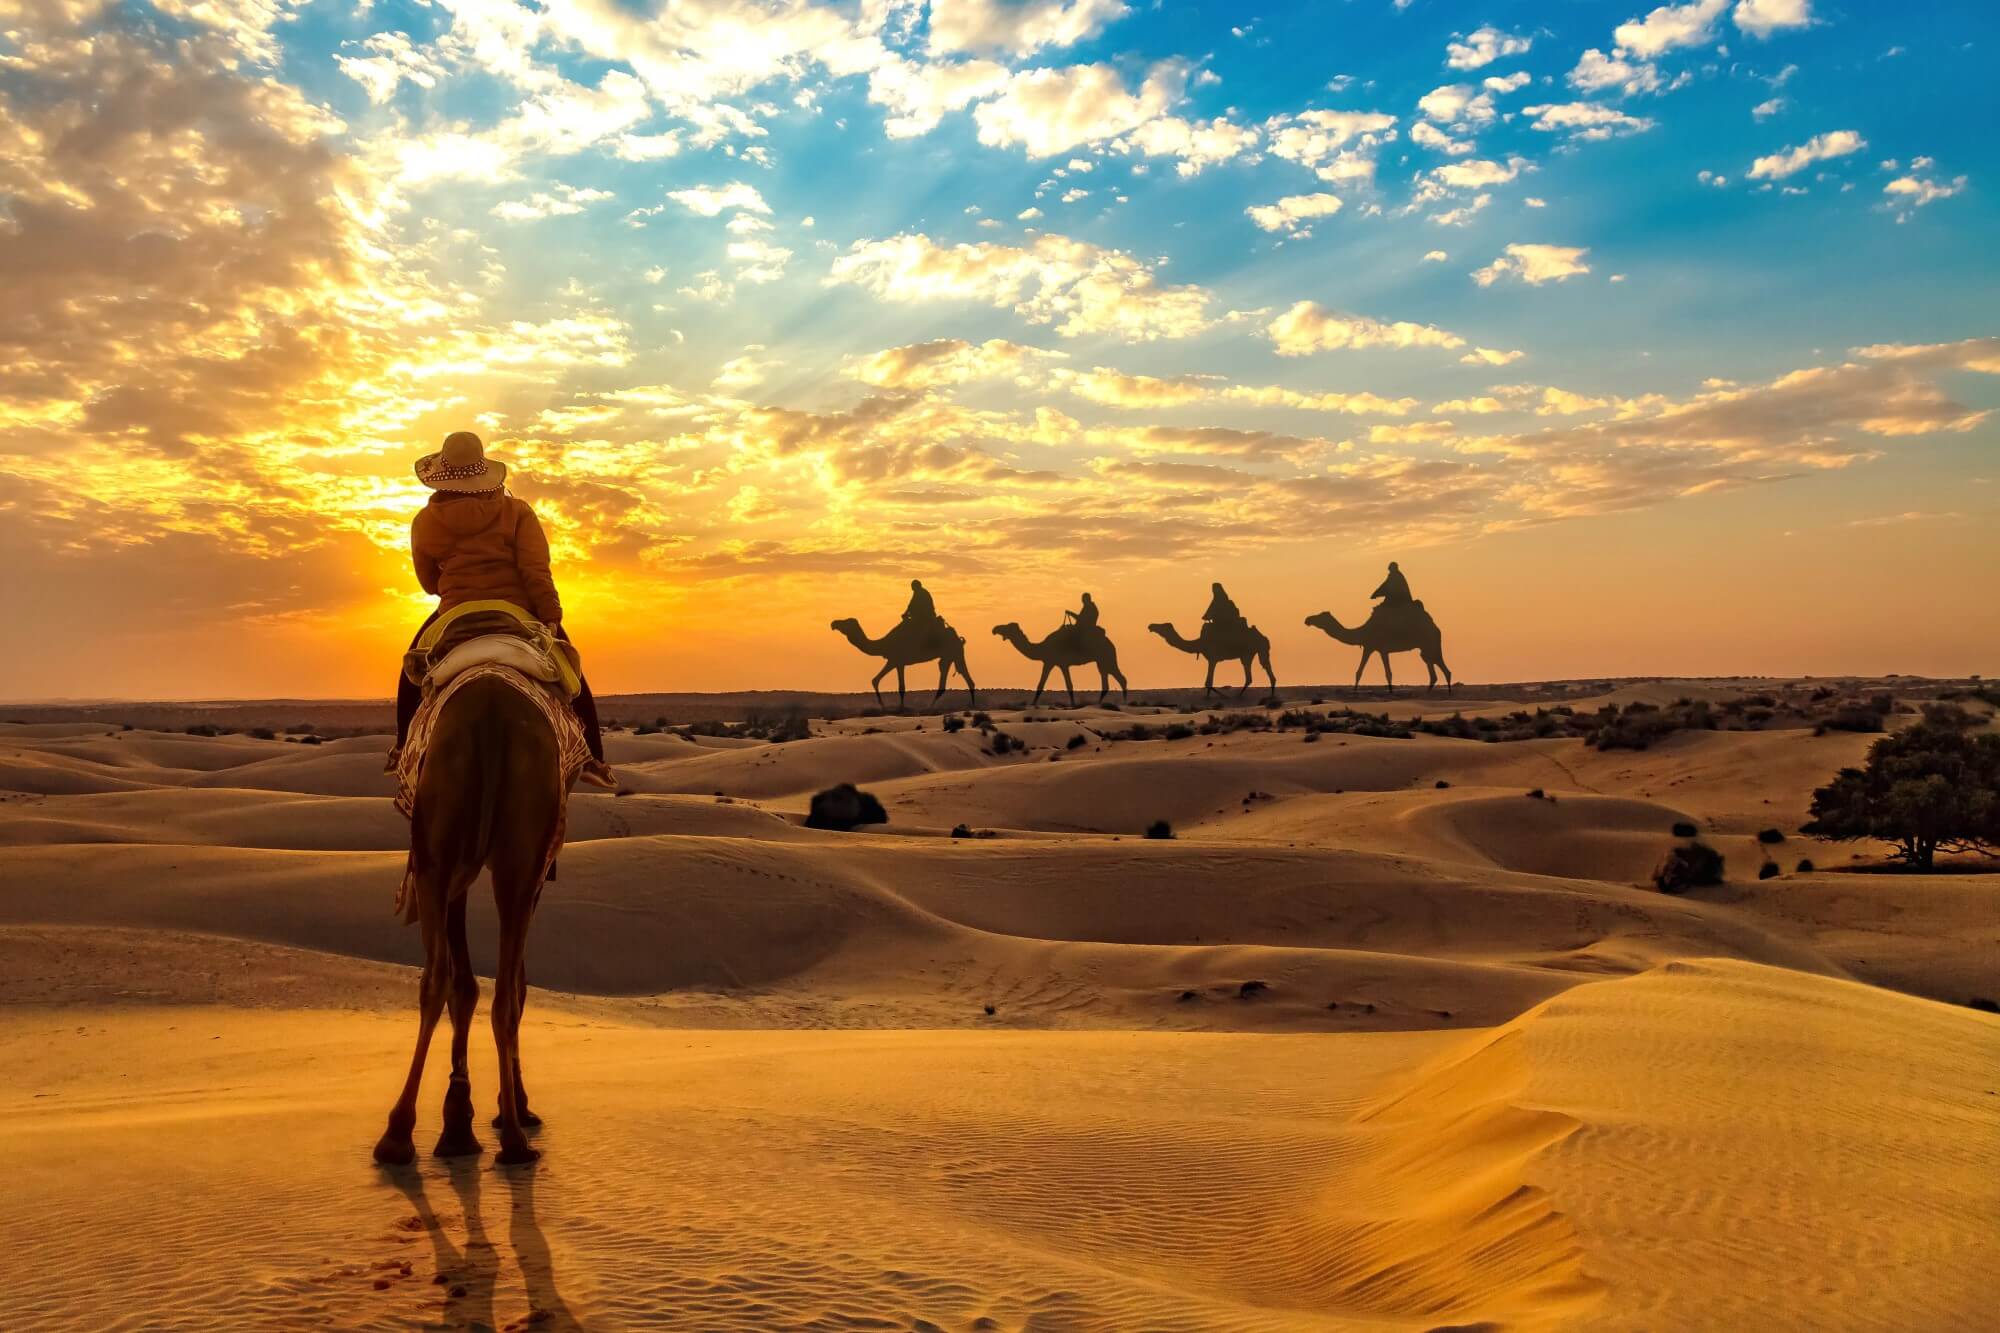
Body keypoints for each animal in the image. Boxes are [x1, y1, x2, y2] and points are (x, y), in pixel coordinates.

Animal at [374, 673, 564, 1168]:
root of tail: (491, 716)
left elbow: (467, 984)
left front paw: (460, 1118)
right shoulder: (526, 872)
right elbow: (495, 985)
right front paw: (476, 1115)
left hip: (439, 854)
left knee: (438, 978)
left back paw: (399, 1134)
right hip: (508, 855)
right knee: (495, 991)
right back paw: (512, 1136)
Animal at [830, 616, 976, 712]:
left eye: (846, 622)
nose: (833, 623)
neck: (884, 644)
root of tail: (959, 638)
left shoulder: (897, 660)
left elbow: (900, 687)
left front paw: (899, 708)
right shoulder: (895, 661)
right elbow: (875, 680)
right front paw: (884, 706)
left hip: (952, 653)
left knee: (955, 678)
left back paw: (932, 707)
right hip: (952, 655)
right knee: (964, 677)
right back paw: (971, 706)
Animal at [992, 621, 1129, 706]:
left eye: (1007, 627)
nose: (995, 629)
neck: (1042, 647)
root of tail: (1111, 644)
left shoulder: (1056, 662)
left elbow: (1065, 685)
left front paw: (1072, 705)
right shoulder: (1053, 663)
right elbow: (1044, 684)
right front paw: (1033, 704)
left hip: (1106, 658)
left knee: (1120, 678)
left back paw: (1123, 703)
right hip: (1101, 661)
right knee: (1109, 680)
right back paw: (1101, 703)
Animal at [1147, 620, 1277, 699]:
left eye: (1163, 626)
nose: (1151, 626)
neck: (1199, 643)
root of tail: (1264, 637)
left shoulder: (1212, 658)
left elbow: (1208, 683)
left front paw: (1219, 697)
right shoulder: (1212, 659)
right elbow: (1208, 683)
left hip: (1255, 651)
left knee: (1259, 671)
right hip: (1250, 653)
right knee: (1255, 674)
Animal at [1306, 602, 1453, 694]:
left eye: (1320, 616)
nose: (1307, 619)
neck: (1363, 631)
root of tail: (1436, 628)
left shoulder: (1372, 647)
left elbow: (1363, 672)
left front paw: (1354, 692)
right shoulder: (1380, 650)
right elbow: (1386, 673)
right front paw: (1390, 692)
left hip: (1430, 644)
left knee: (1444, 669)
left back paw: (1447, 694)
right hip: (1424, 649)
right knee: (1433, 671)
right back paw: (1428, 693)